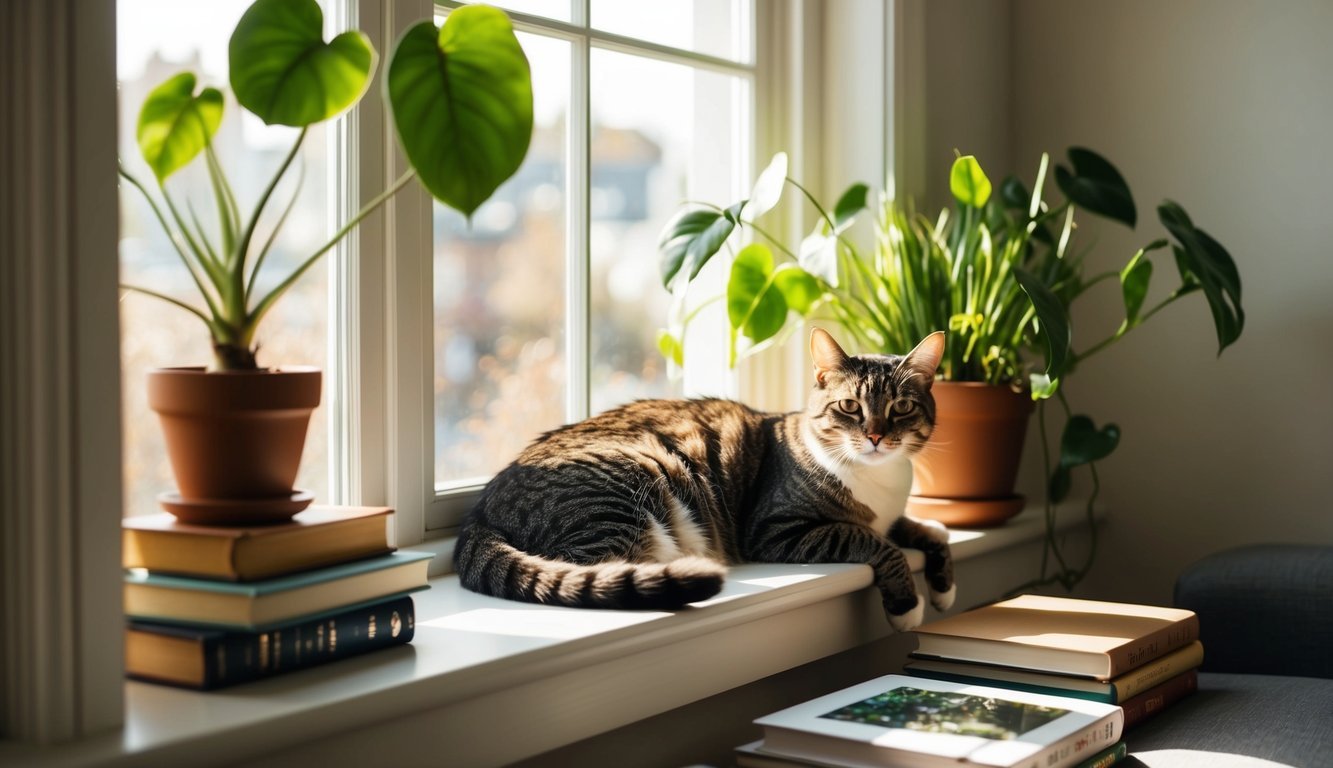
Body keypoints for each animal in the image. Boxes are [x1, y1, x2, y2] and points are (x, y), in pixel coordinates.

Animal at [453, 325, 954, 629]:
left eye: (901, 407)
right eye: (850, 406)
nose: (875, 436)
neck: (879, 479)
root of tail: (478, 512)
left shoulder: (892, 516)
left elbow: (931, 532)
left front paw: (944, 588)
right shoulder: (777, 530)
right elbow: (875, 542)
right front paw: (908, 606)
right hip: (628, 478)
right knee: (592, 566)